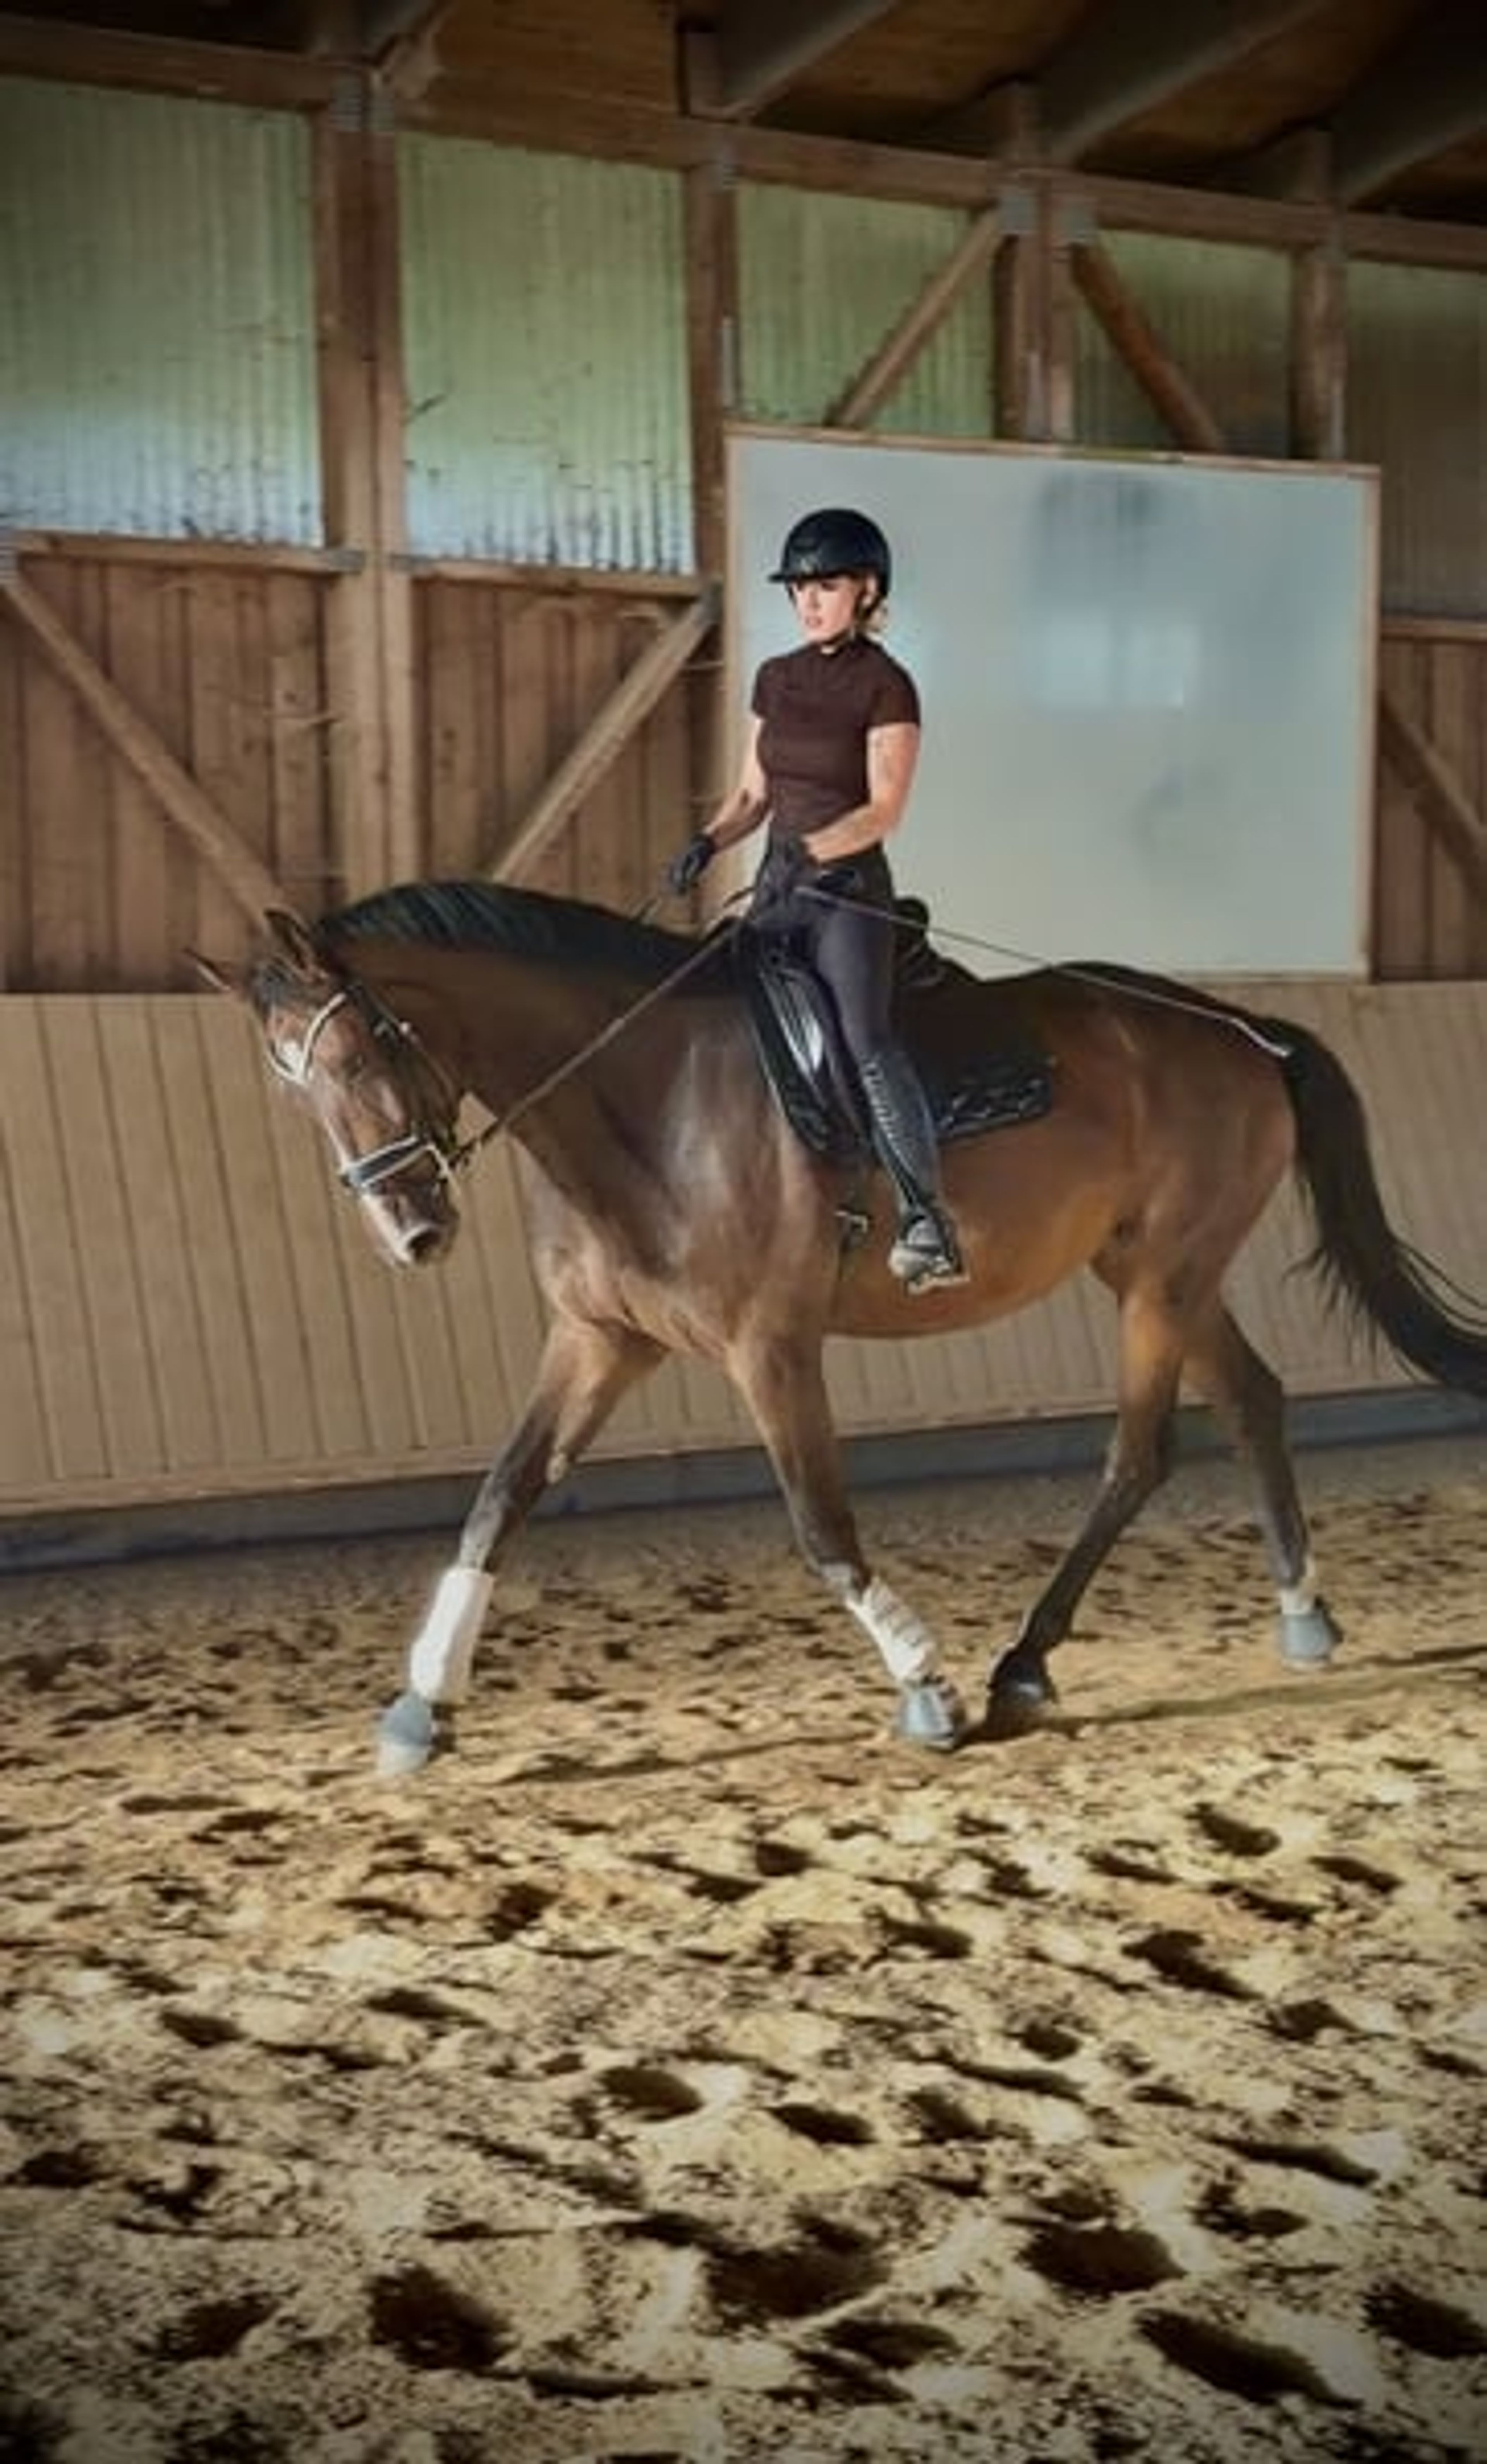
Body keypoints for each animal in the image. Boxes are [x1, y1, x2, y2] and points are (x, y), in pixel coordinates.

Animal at [194, 878, 1487, 1775]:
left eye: (365, 1045)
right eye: (292, 1083)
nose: (410, 1232)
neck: (644, 1101)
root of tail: (1241, 1031)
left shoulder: (770, 1346)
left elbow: (820, 1524)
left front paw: (926, 1684)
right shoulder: (599, 1339)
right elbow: (499, 1496)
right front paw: (424, 1704)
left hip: (1163, 1277)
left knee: (1139, 1451)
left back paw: (1023, 1663)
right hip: (1159, 1269)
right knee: (1254, 1400)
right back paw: (1301, 1613)